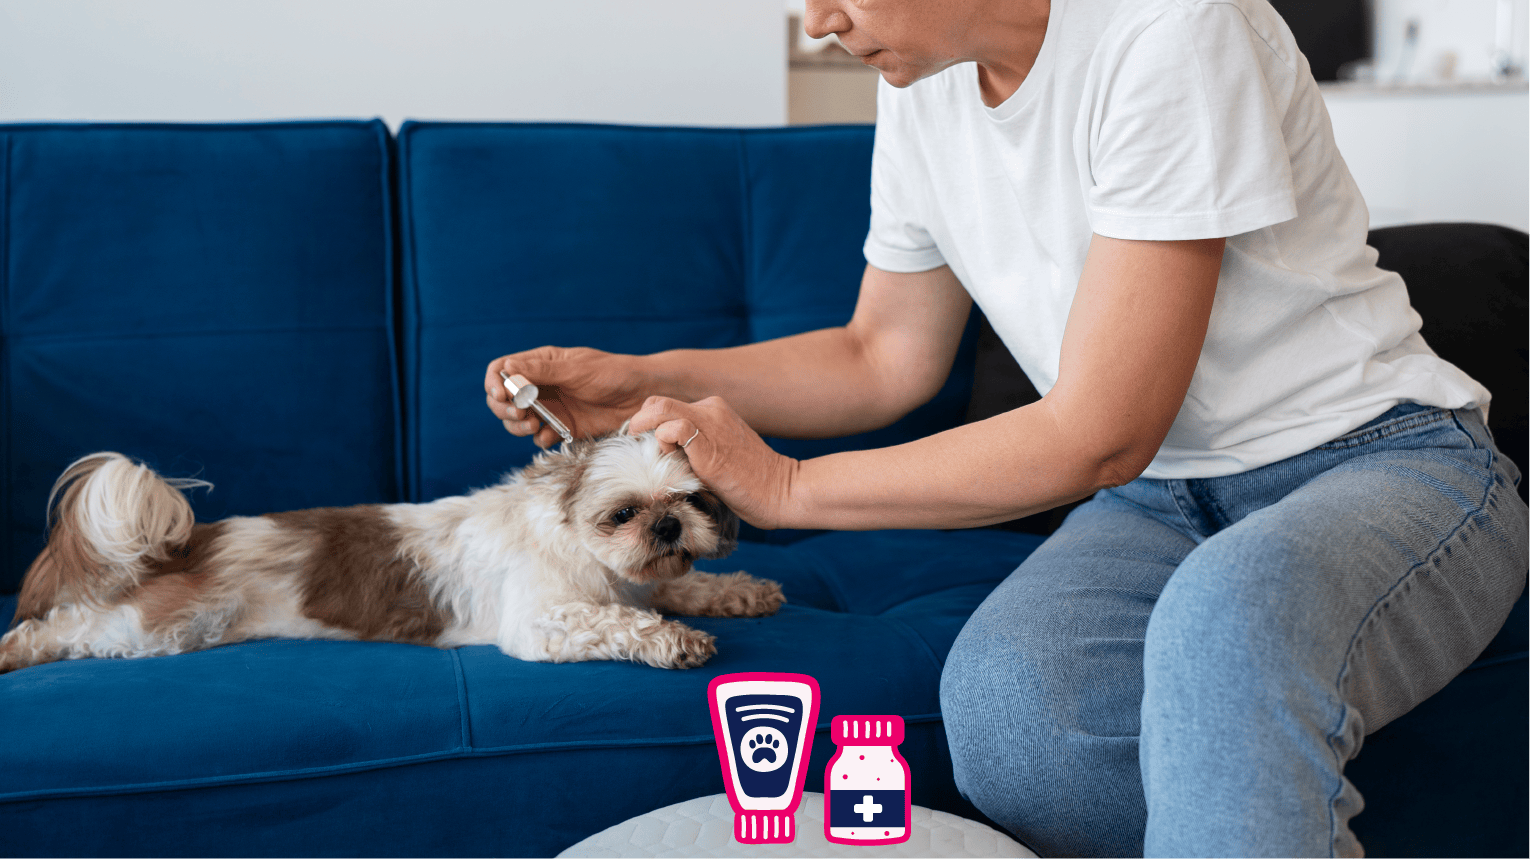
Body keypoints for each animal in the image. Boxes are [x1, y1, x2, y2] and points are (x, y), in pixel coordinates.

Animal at [0, 431, 783, 673]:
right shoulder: (543, 621)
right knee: (64, 627)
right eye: (623, 513)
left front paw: (739, 591)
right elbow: (617, 622)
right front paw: (677, 640)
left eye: (690, 502)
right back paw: (13, 651)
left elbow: (679, 588)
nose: (667, 528)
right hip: (161, 626)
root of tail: (193, 540)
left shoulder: (641, 580)